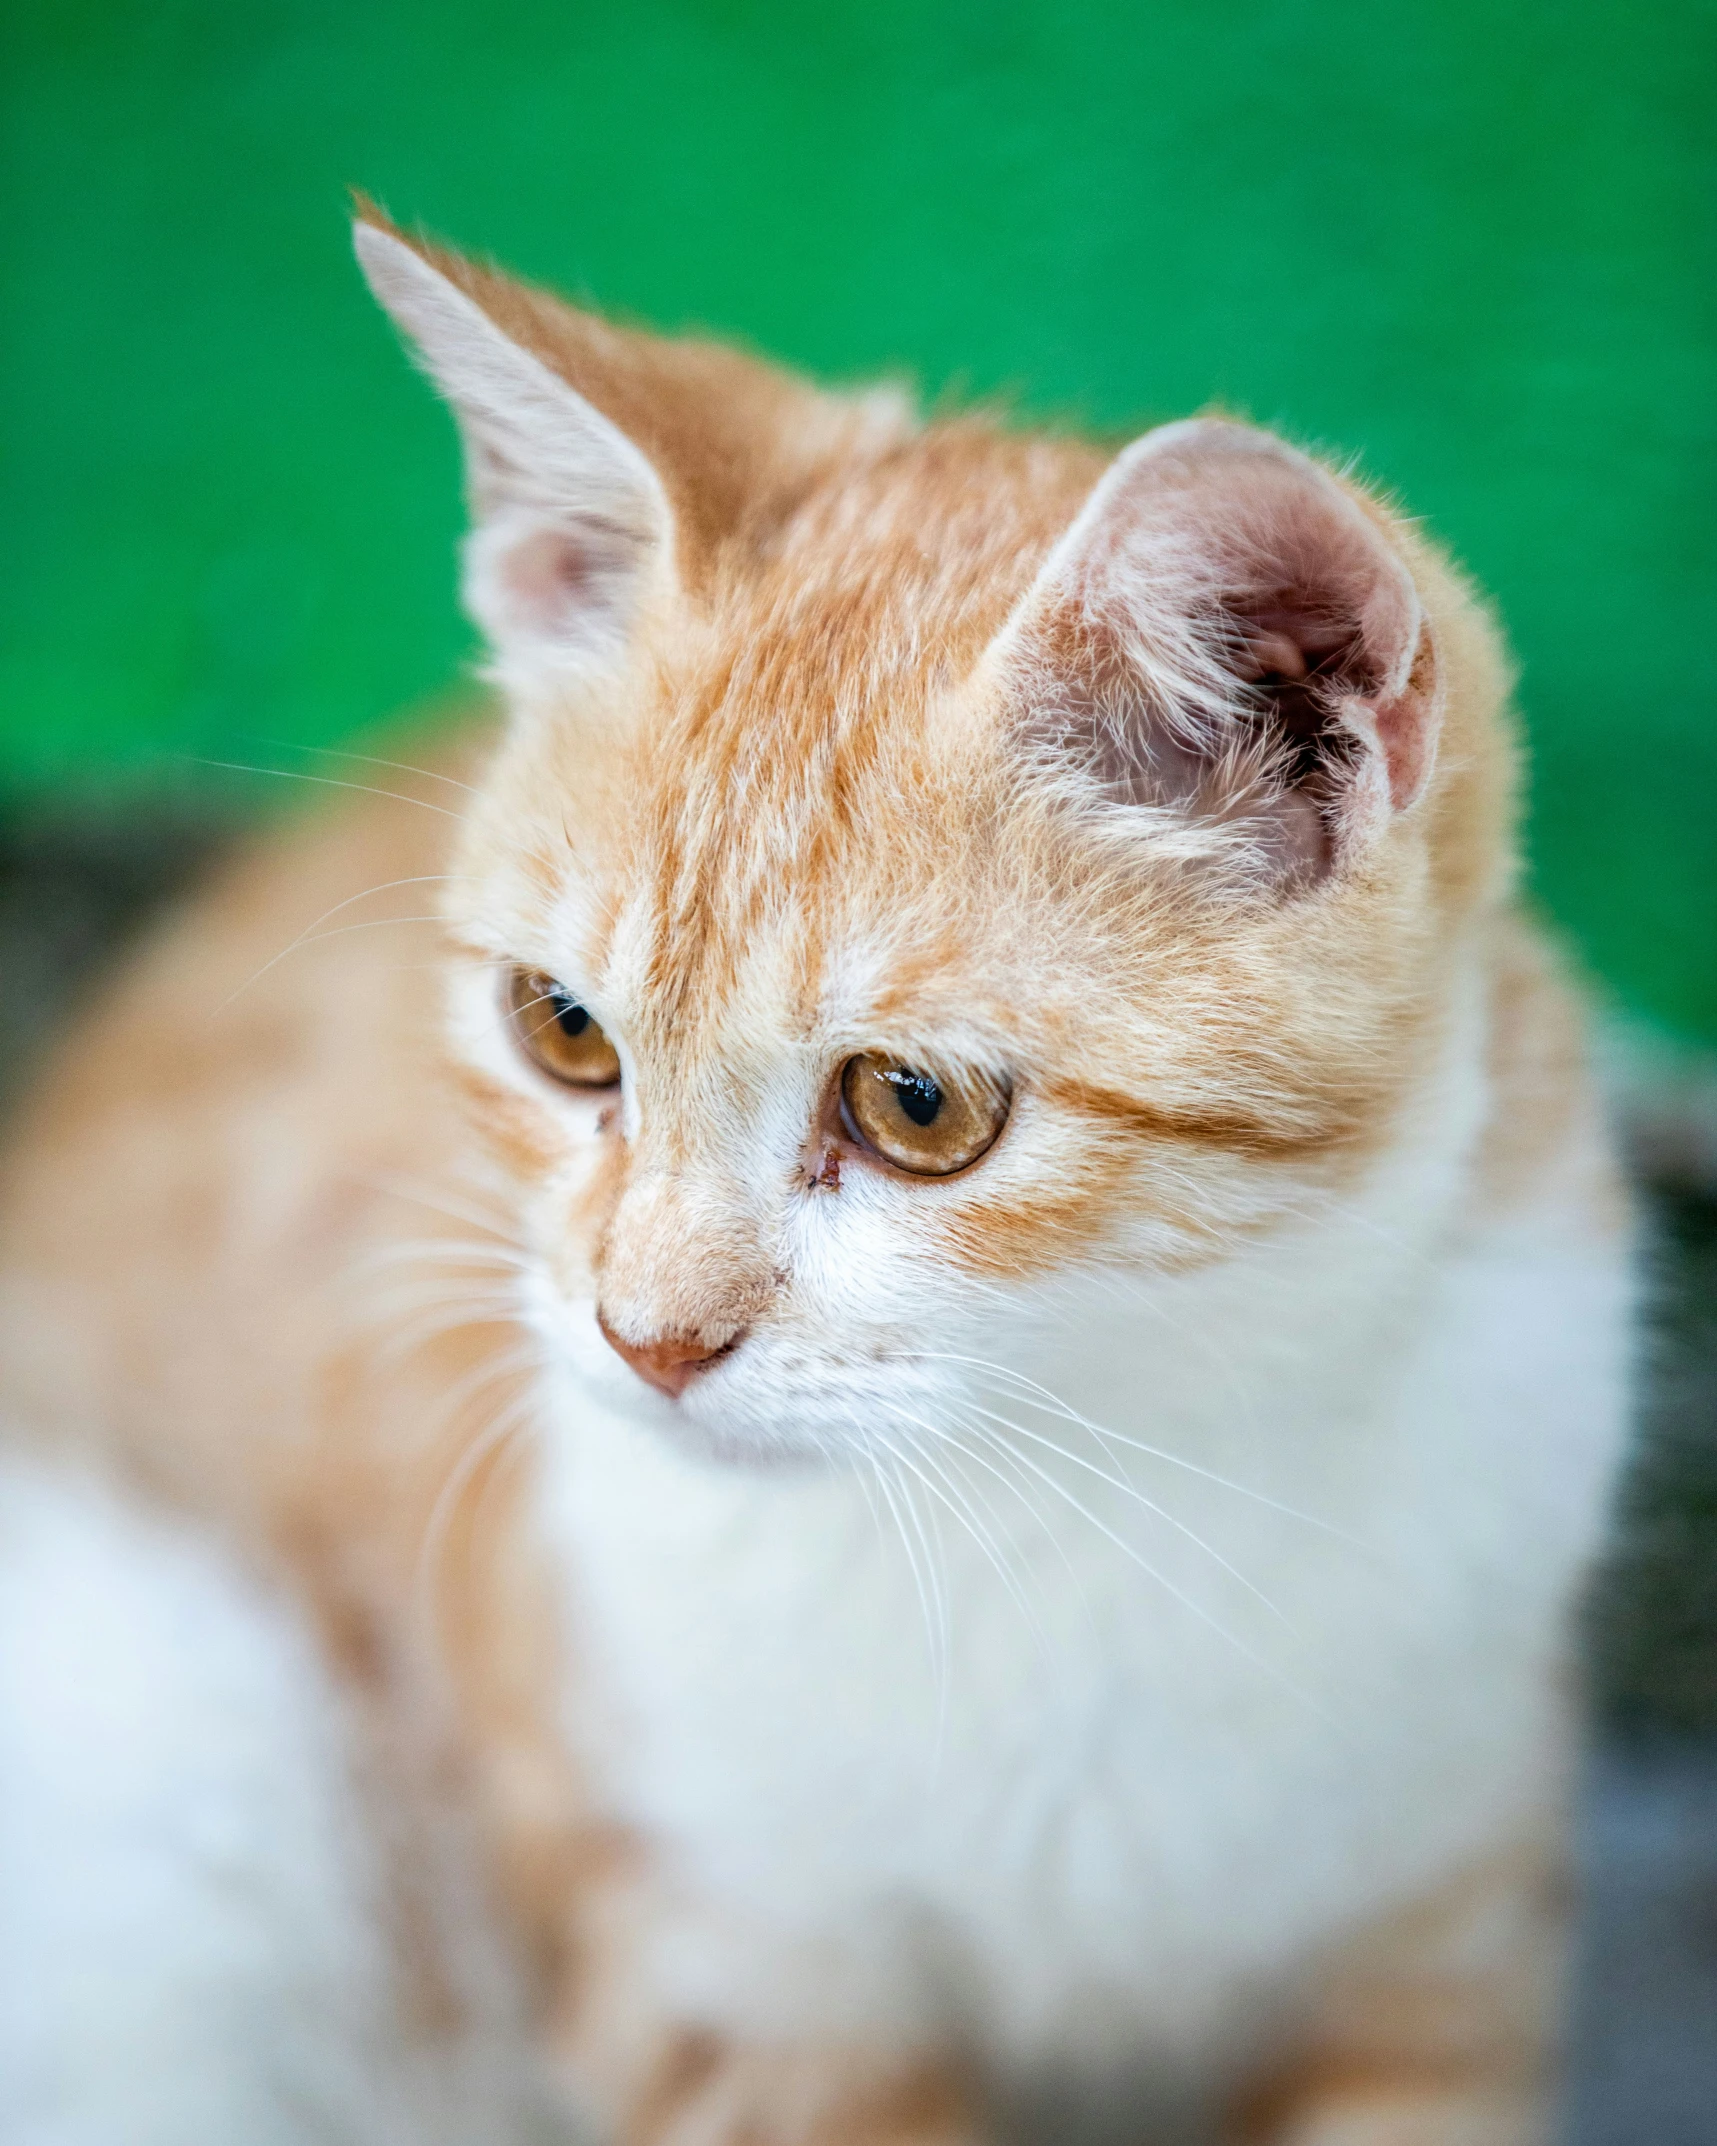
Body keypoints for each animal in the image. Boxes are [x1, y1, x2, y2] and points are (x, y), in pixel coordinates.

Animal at [0, 204, 1631, 2146]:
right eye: (562, 1029)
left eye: (915, 1105)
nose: (644, 1338)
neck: (1082, 1491)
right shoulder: (702, 1943)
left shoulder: (1446, 1897)